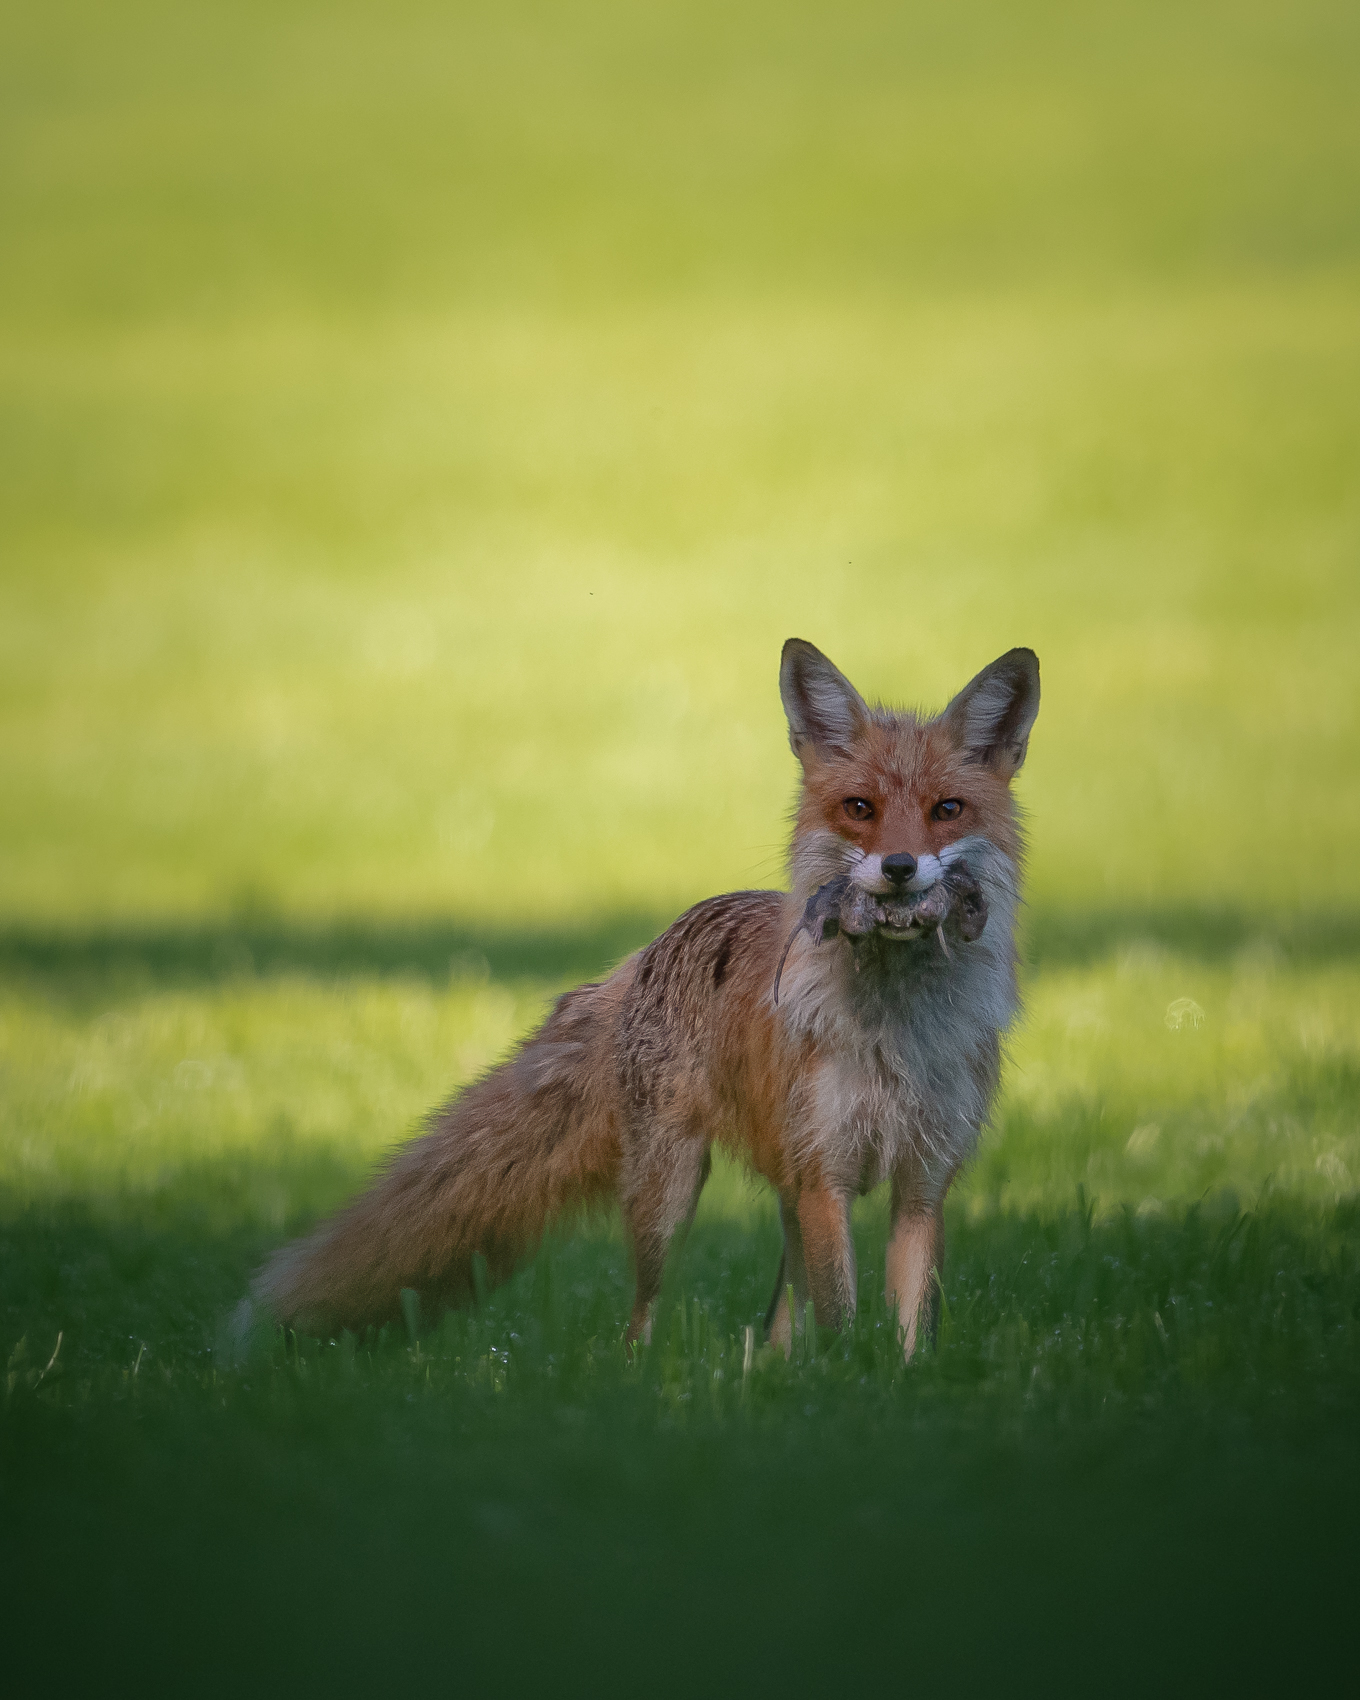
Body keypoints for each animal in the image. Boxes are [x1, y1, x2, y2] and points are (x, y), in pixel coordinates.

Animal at [255, 642, 1040, 1360]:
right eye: (860, 809)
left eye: (946, 810)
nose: (900, 868)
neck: (897, 1029)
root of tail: (642, 955)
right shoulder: (827, 1178)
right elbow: (842, 1321)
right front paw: (847, 1384)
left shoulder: (924, 1181)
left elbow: (909, 1332)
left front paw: (892, 1390)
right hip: (670, 1198)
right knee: (640, 1320)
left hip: (778, 1193)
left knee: (776, 1324)